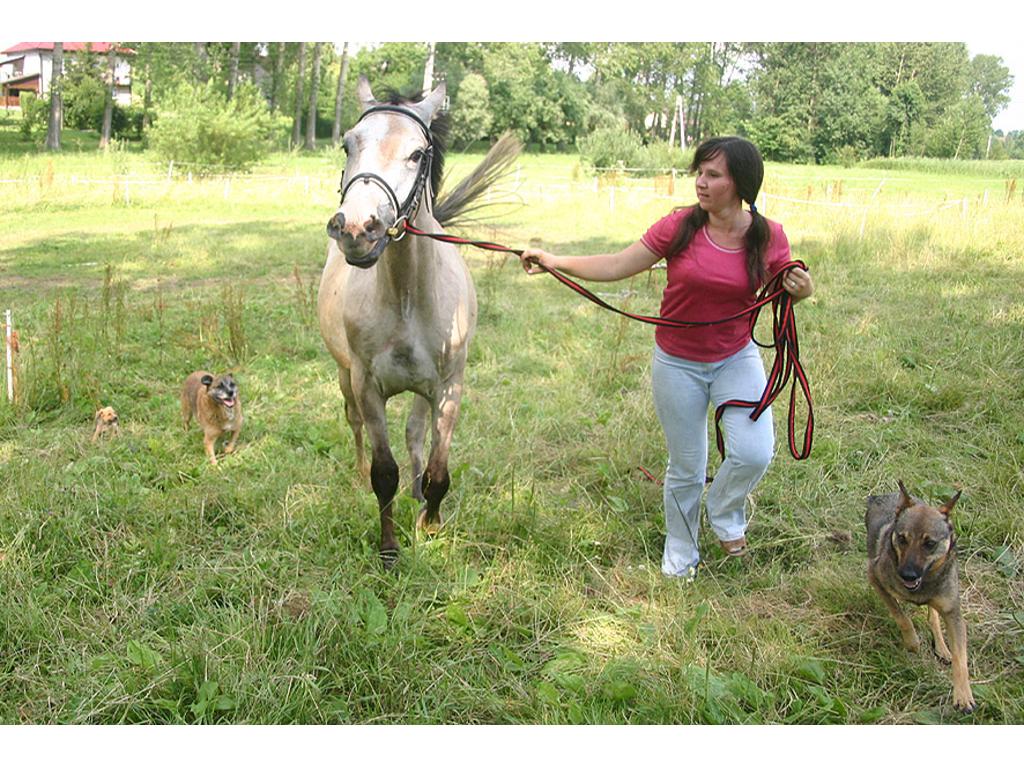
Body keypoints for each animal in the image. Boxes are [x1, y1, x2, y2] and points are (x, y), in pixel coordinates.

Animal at [317, 78, 520, 569]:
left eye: (416, 153)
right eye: (348, 144)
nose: (357, 229)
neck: (408, 298)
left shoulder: (447, 388)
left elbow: (437, 468)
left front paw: (429, 524)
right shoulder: (367, 386)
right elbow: (383, 472)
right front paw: (390, 549)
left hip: (422, 392)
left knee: (414, 434)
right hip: (344, 376)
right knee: (353, 424)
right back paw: (357, 473)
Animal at [864, 481, 974, 716]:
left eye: (930, 543)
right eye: (902, 538)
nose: (907, 575)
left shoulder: (952, 612)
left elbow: (961, 658)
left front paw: (963, 696)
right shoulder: (875, 577)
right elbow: (902, 616)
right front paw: (913, 643)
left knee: (933, 615)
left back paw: (942, 647)